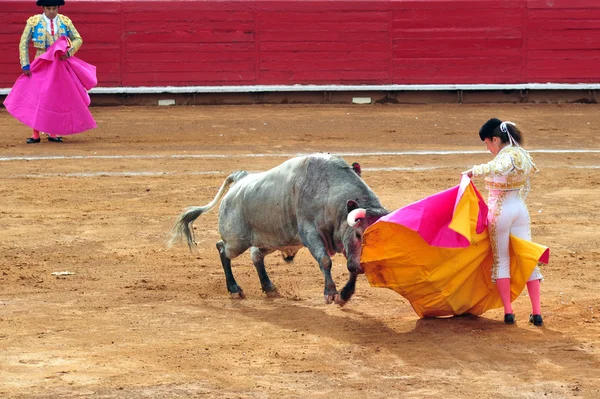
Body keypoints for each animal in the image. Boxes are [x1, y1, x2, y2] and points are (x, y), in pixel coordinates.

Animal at [169, 155, 390, 304]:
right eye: (359, 234)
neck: (329, 190)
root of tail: (241, 178)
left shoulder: (344, 243)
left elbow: (352, 268)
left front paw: (344, 295)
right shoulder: (311, 234)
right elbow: (325, 260)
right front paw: (330, 293)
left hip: (270, 240)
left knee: (256, 255)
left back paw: (269, 288)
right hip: (236, 241)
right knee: (222, 249)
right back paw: (234, 289)